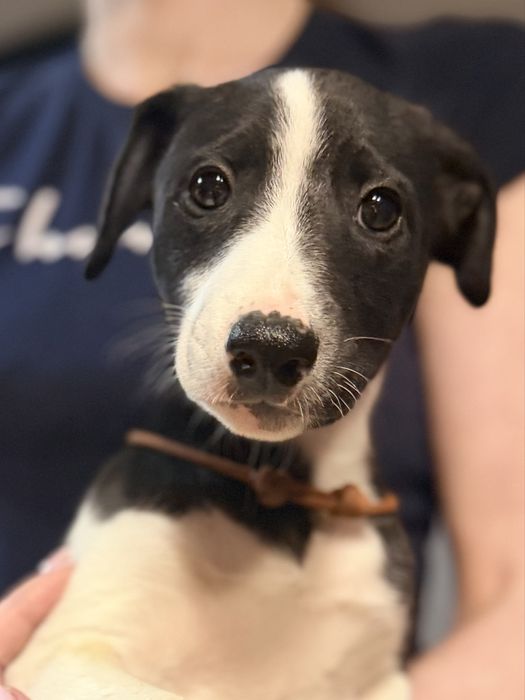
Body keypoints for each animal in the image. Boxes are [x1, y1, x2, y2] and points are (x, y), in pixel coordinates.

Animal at [7, 68, 495, 700]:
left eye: (381, 208)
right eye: (208, 186)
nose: (270, 347)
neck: (279, 488)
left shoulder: (378, 677)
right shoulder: (69, 648)